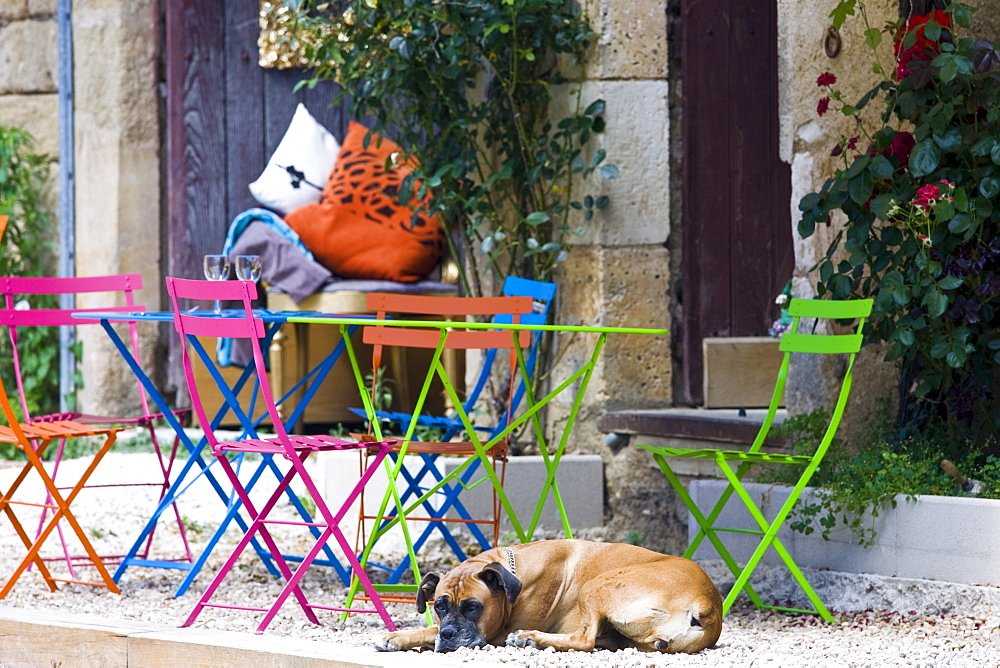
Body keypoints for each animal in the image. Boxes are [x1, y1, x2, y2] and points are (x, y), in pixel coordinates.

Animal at [376, 536, 720, 652]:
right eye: (439, 606)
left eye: (473, 607)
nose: (448, 634)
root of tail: (708, 602)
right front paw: (400, 636)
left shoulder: (495, 631)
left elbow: (428, 631)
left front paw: (399, 636)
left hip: (597, 585)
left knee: (584, 641)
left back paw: (531, 638)